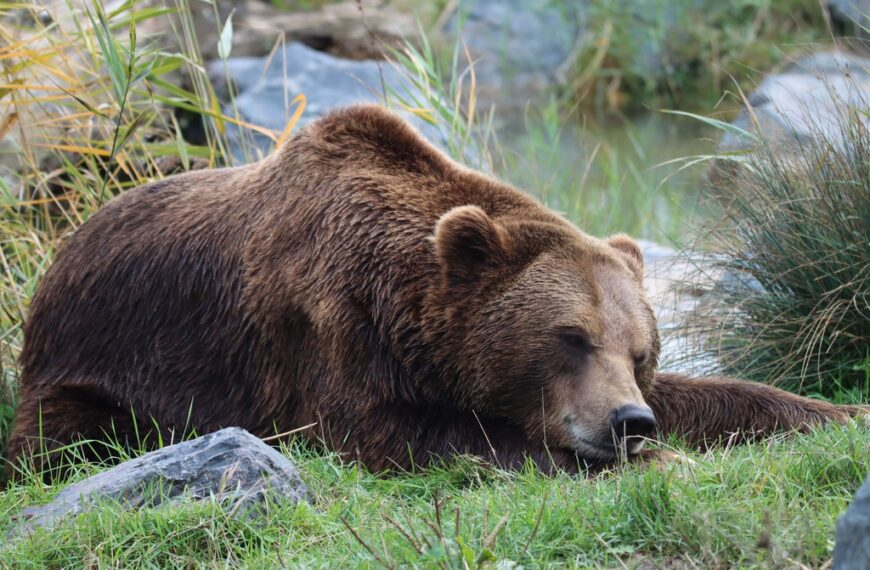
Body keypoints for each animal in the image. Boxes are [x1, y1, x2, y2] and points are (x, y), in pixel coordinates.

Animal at [6, 104, 865, 478]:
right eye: (570, 336)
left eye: (641, 350)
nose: (628, 423)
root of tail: (65, 247)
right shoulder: (321, 336)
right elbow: (412, 432)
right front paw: (652, 461)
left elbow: (718, 395)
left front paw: (836, 412)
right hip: (98, 360)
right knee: (66, 438)